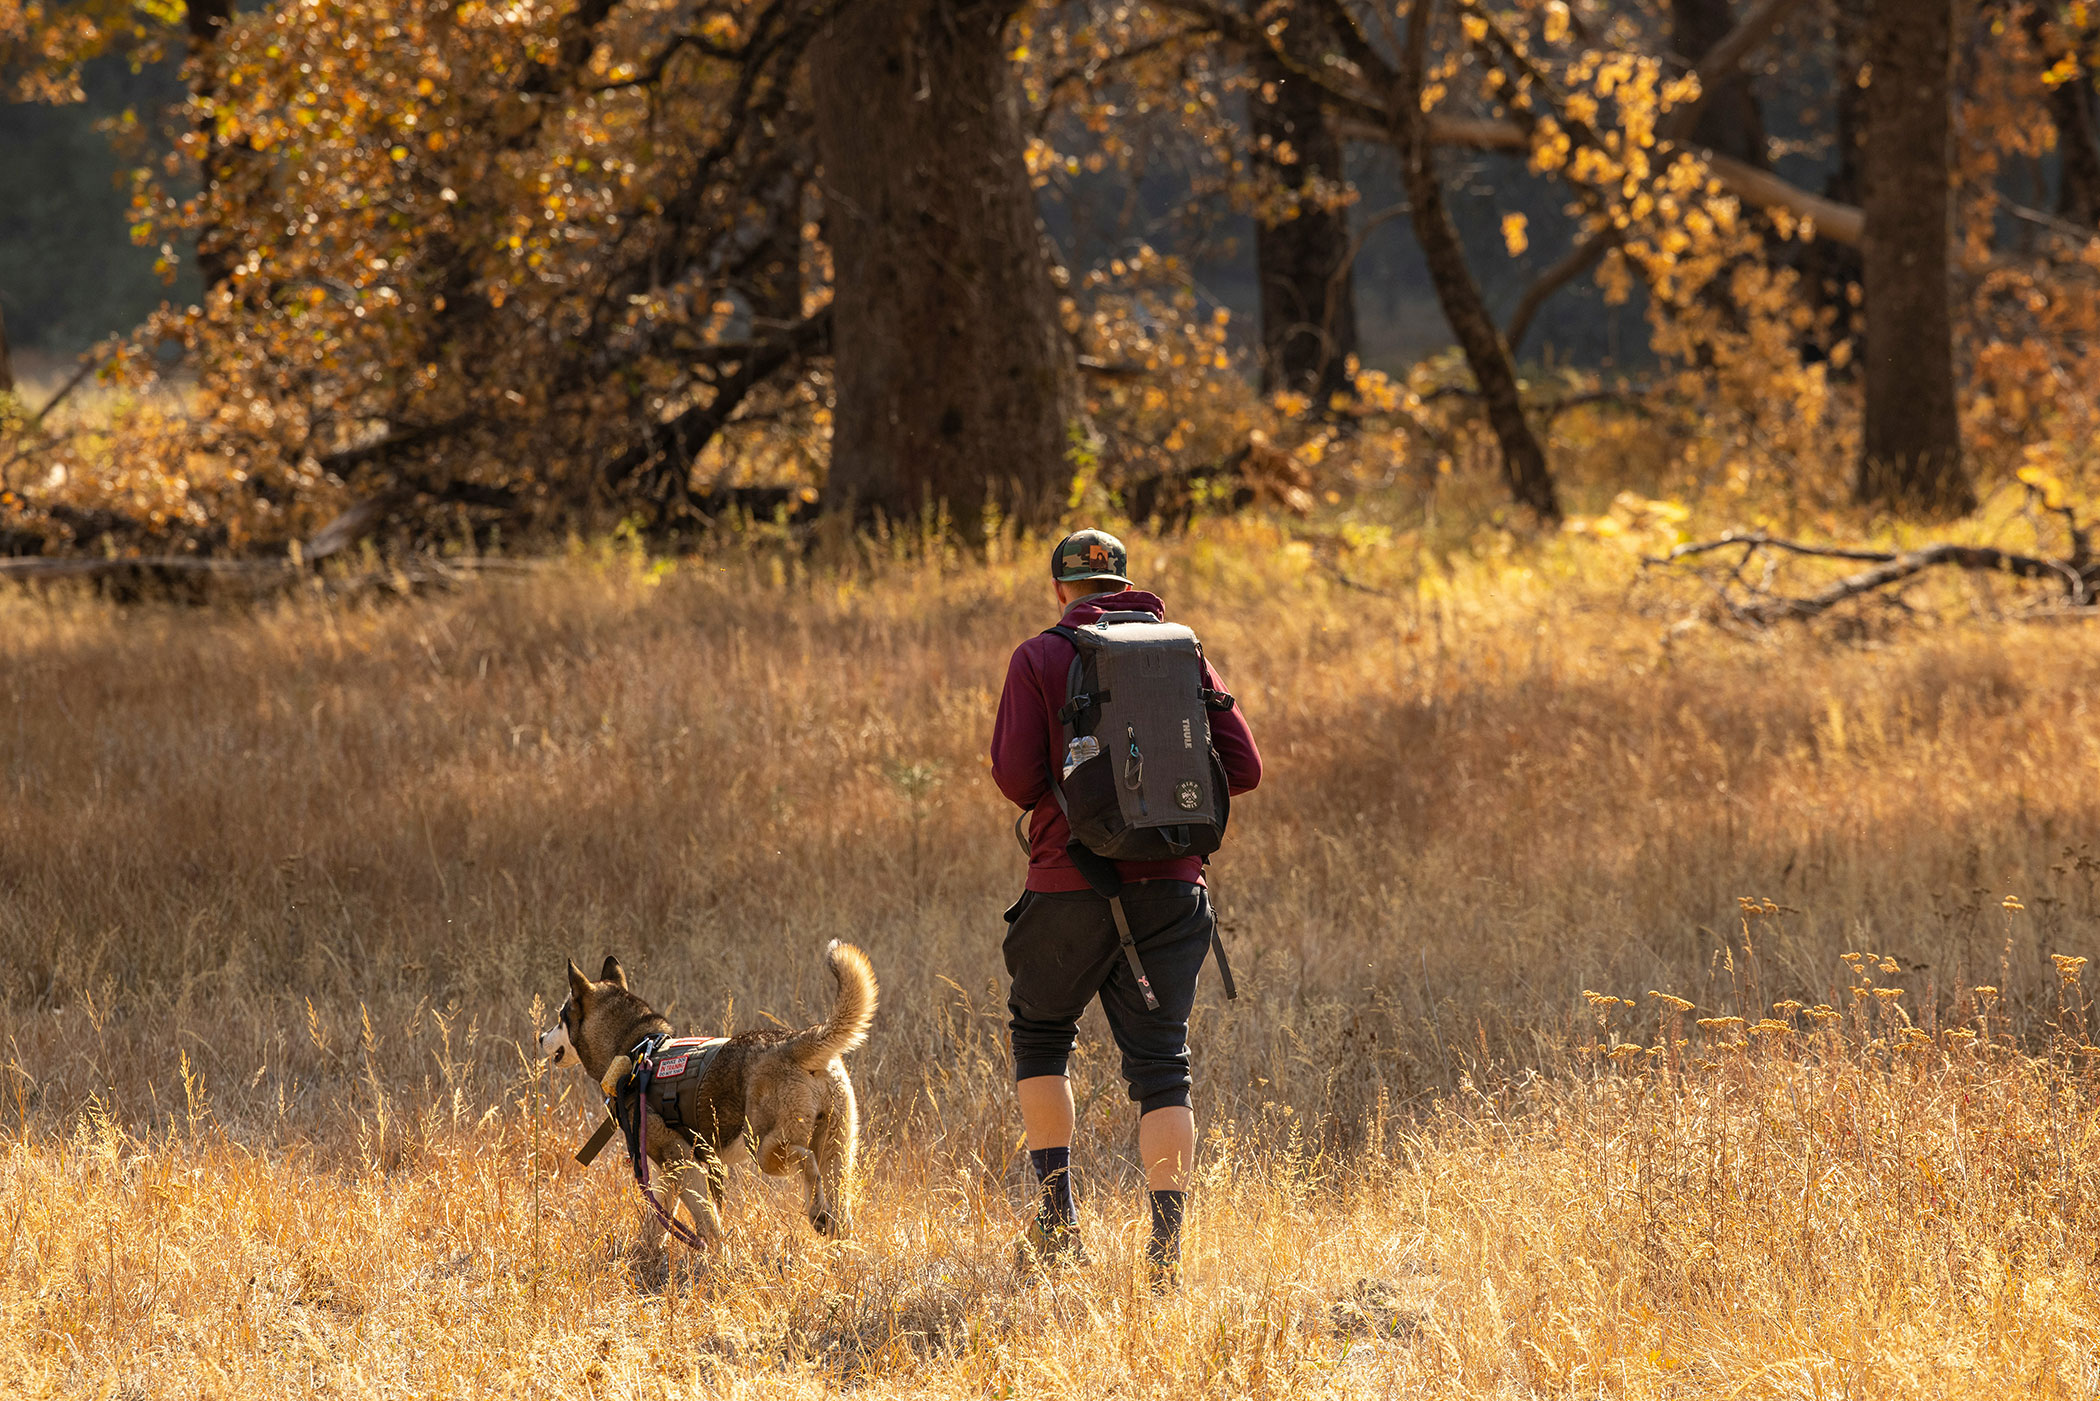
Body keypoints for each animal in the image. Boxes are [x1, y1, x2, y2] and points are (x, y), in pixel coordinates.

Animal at [541, 941, 877, 1251]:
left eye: (560, 1017)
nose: (541, 1036)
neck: (636, 1050)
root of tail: (793, 1043)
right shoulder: (670, 1170)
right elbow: (660, 1221)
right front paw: (646, 1256)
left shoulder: (680, 1160)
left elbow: (707, 1222)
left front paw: (717, 1258)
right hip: (837, 1152)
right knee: (839, 1208)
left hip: (765, 1149)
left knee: (806, 1160)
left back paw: (816, 1214)